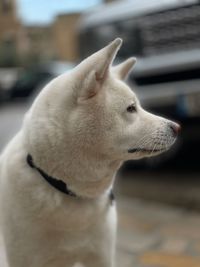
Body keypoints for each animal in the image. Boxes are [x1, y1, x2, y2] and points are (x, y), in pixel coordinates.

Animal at [0, 38, 180, 267]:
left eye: (137, 106)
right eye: (131, 108)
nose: (177, 127)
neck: (68, 190)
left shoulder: (101, 256)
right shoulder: (26, 258)